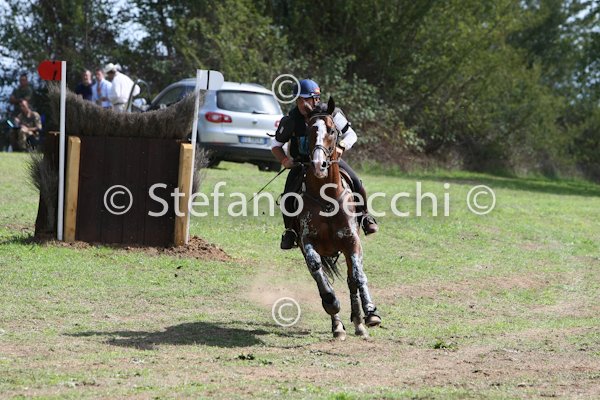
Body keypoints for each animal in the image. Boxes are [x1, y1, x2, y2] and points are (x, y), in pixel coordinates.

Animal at [291, 97, 381, 340]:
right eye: (309, 131)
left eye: (332, 131)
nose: (318, 165)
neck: (327, 196)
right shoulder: (308, 243)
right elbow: (319, 274)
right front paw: (332, 304)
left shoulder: (352, 241)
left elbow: (358, 276)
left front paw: (371, 313)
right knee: (323, 276)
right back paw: (338, 326)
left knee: (351, 280)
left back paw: (359, 322)